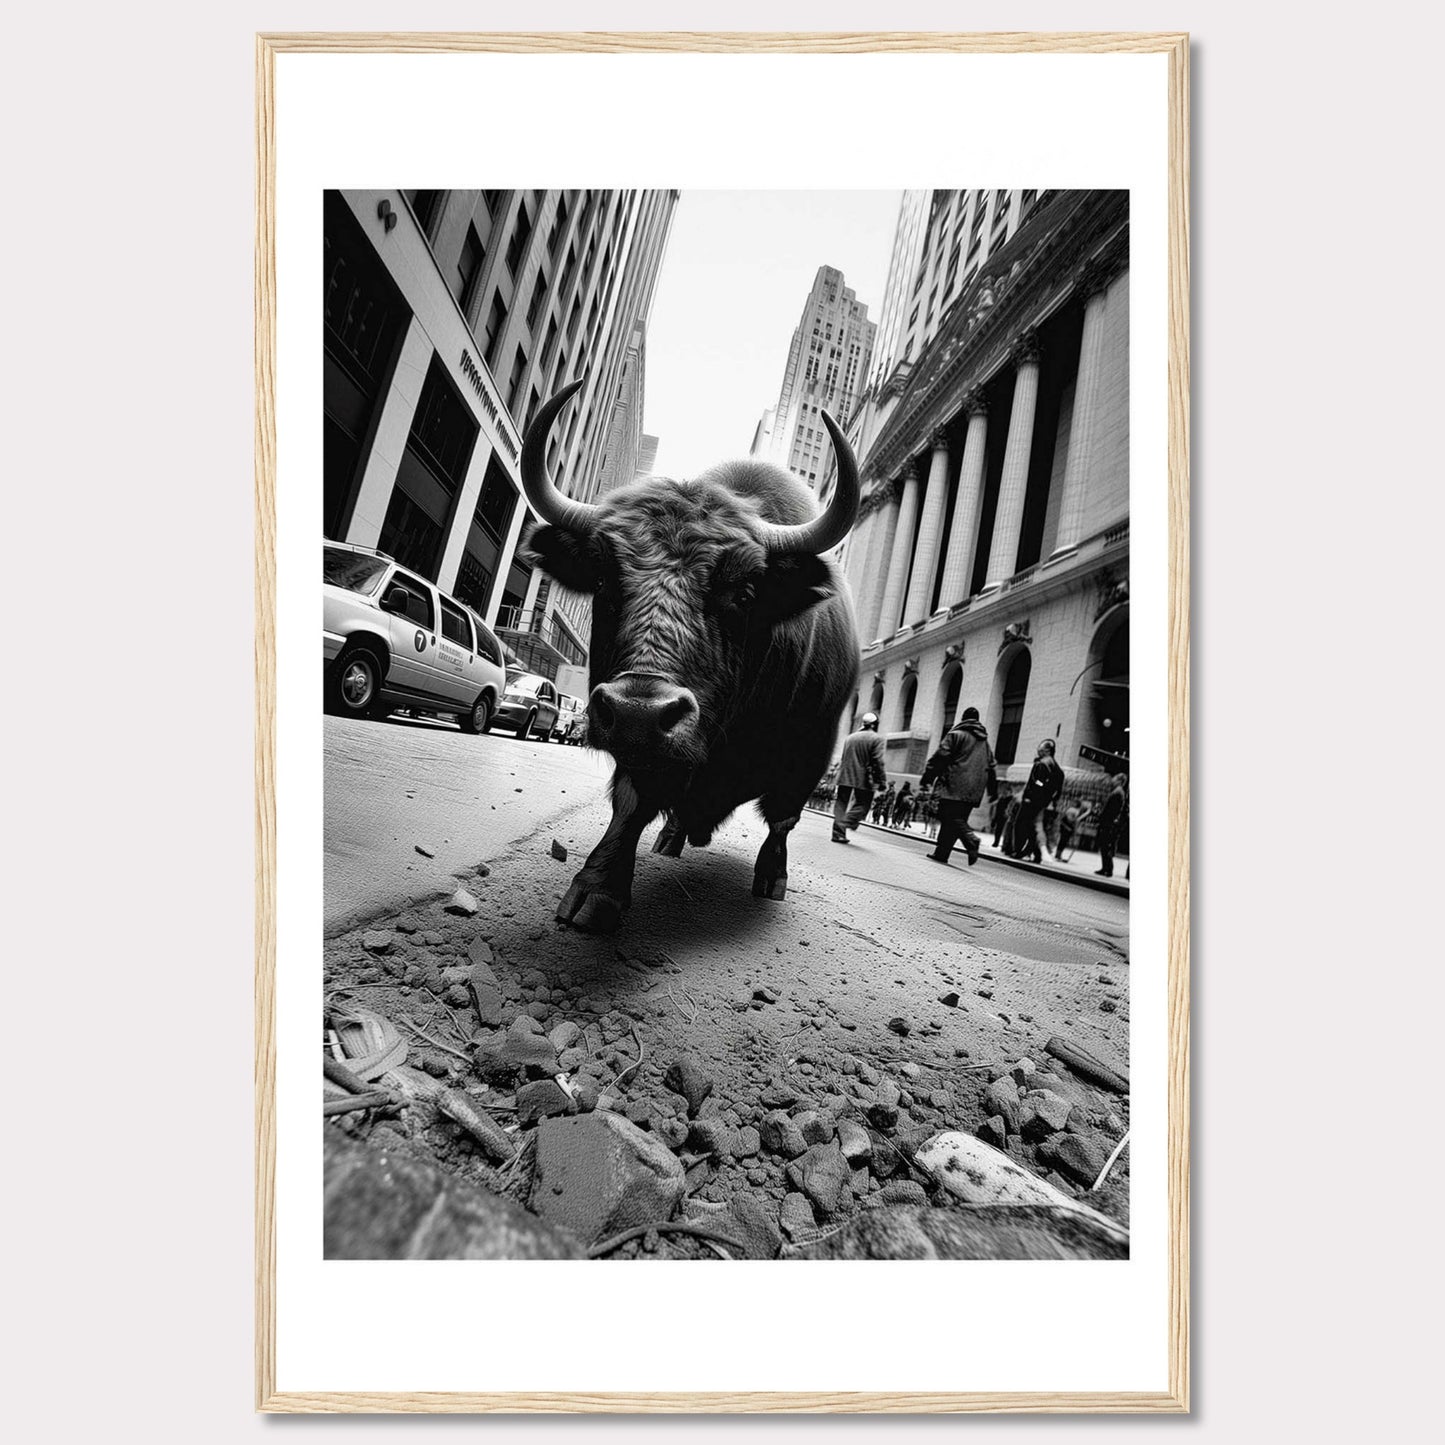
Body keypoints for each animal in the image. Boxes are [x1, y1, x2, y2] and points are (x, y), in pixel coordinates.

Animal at [520, 378, 855, 930]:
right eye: (602, 582)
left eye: (743, 592)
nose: (637, 711)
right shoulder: (645, 755)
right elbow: (631, 804)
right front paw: (597, 890)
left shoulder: (811, 750)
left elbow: (783, 820)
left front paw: (773, 879)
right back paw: (671, 838)